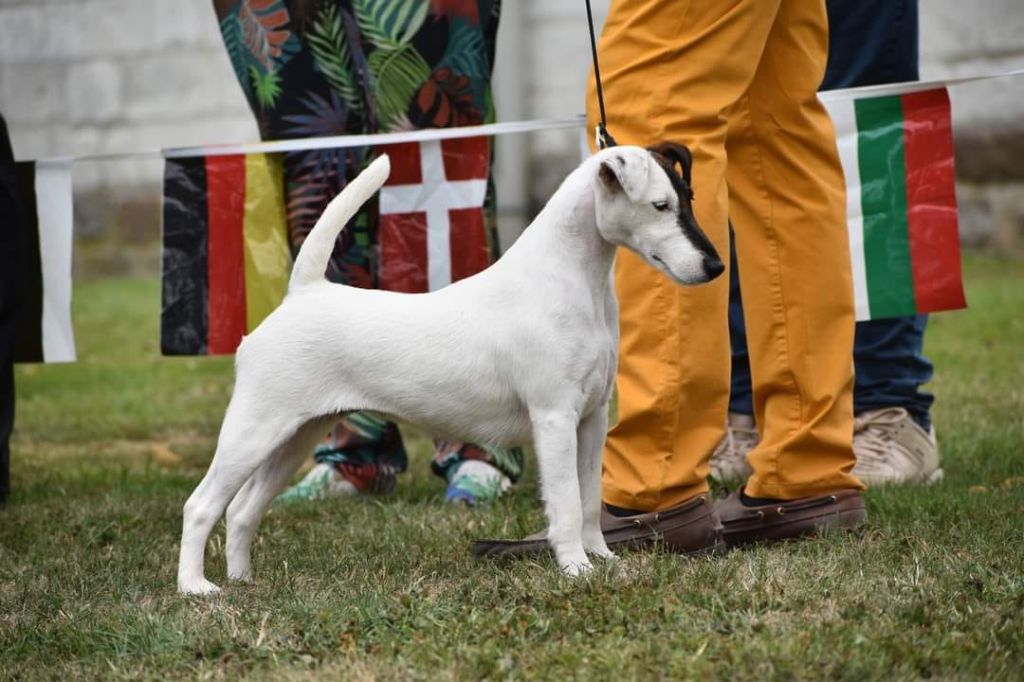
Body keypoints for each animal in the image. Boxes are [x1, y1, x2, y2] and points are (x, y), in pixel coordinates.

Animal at [178, 142, 720, 589]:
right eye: (659, 205)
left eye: (688, 197)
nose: (714, 267)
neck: (572, 280)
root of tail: (303, 294)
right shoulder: (555, 418)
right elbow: (566, 502)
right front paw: (575, 570)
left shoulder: (592, 419)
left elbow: (588, 500)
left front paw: (603, 560)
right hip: (254, 430)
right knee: (201, 505)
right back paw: (198, 589)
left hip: (296, 437)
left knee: (243, 509)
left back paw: (243, 581)